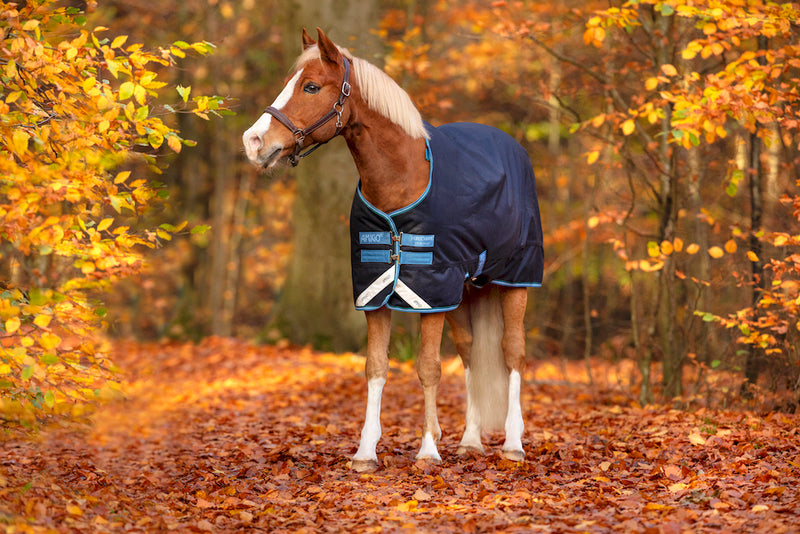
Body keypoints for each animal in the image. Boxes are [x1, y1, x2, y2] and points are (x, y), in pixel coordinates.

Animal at [242, 28, 543, 472]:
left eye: (311, 86)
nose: (253, 141)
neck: (402, 178)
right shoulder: (376, 291)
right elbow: (376, 367)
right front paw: (366, 452)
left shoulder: (430, 293)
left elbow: (429, 368)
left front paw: (428, 449)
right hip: (464, 288)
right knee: (471, 352)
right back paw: (471, 440)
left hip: (515, 280)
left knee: (513, 353)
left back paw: (512, 443)